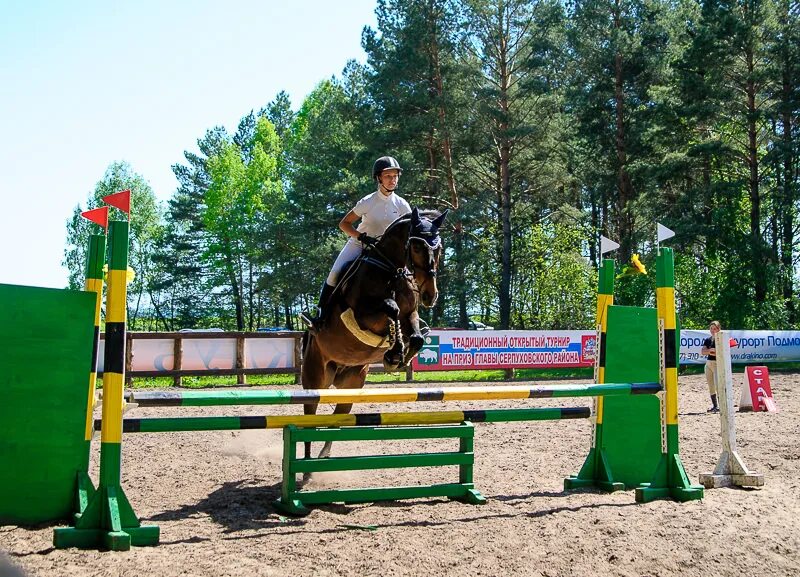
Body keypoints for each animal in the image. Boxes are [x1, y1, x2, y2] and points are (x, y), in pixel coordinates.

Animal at [302, 207, 446, 460]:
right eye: (417, 247)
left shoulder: (411, 314)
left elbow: (416, 336)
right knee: (310, 417)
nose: (430, 295)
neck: (392, 270)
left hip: (352, 383)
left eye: (439, 248)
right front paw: (395, 350)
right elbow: (391, 308)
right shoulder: (361, 314)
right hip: (314, 379)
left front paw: (398, 358)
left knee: (338, 417)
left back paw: (324, 453)